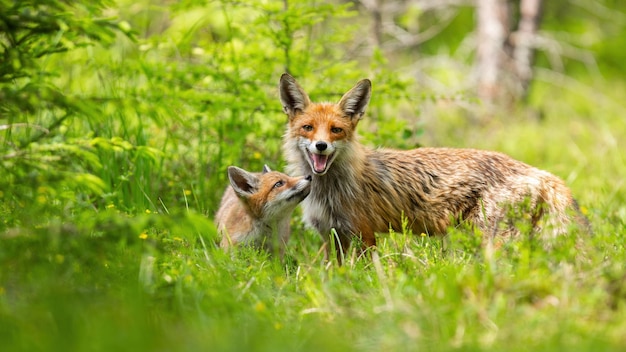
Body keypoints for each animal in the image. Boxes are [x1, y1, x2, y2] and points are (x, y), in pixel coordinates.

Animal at [280, 72, 588, 258]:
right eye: (308, 128)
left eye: (336, 130)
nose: (321, 146)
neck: (329, 191)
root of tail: (538, 172)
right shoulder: (331, 237)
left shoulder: (363, 235)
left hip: (495, 238)